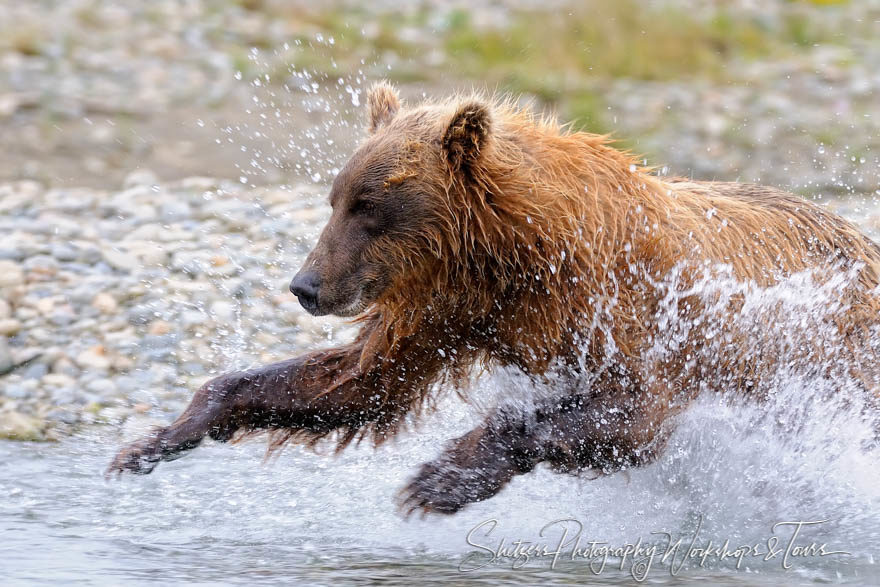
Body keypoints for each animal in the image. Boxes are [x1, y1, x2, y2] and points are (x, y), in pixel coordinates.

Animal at [108, 81, 880, 516]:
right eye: (334, 198)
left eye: (367, 206)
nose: (307, 285)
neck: (512, 257)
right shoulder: (443, 311)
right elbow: (358, 383)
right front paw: (154, 439)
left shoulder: (634, 311)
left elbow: (631, 411)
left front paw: (439, 479)